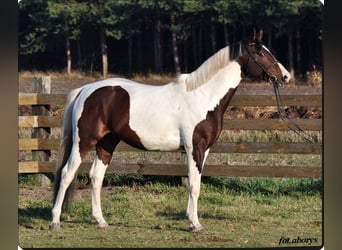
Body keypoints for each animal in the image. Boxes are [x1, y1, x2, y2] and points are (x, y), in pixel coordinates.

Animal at [50, 28, 292, 231]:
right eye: (260, 53)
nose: (285, 76)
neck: (203, 96)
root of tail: (86, 89)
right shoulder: (195, 148)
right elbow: (194, 185)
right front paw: (195, 224)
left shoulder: (204, 150)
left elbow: (196, 183)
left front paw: (191, 220)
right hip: (84, 142)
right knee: (67, 173)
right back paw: (55, 221)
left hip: (106, 143)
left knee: (96, 178)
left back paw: (101, 221)